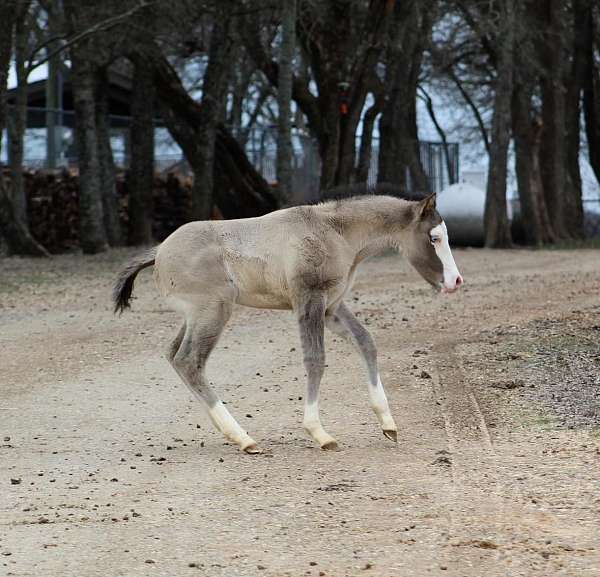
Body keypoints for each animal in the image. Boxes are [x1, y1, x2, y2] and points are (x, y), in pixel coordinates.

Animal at [113, 191, 464, 452]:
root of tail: (160, 251)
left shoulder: (332, 307)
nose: (455, 281)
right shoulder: (309, 301)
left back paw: (228, 432)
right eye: (434, 238)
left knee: (175, 356)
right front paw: (319, 433)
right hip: (213, 311)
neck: (334, 232)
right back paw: (244, 438)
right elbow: (315, 359)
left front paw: (387, 422)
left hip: (196, 317)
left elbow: (366, 343)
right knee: (189, 361)